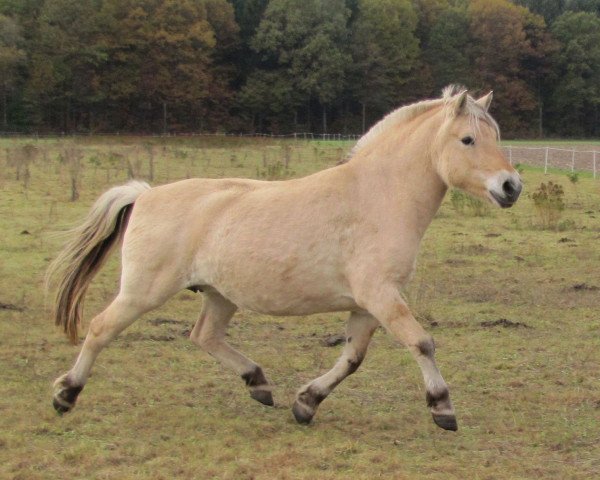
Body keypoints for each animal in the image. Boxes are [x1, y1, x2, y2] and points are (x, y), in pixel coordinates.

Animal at [50, 85, 520, 432]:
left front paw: (306, 403)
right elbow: (421, 342)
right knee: (100, 328)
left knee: (204, 336)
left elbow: (352, 358)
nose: (511, 186)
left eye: (496, 138)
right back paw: (66, 394)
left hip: (220, 295)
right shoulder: (381, 295)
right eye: (468, 139)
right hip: (143, 292)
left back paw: (258, 383)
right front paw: (442, 408)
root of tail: (145, 195)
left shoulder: (368, 304)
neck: (378, 197)